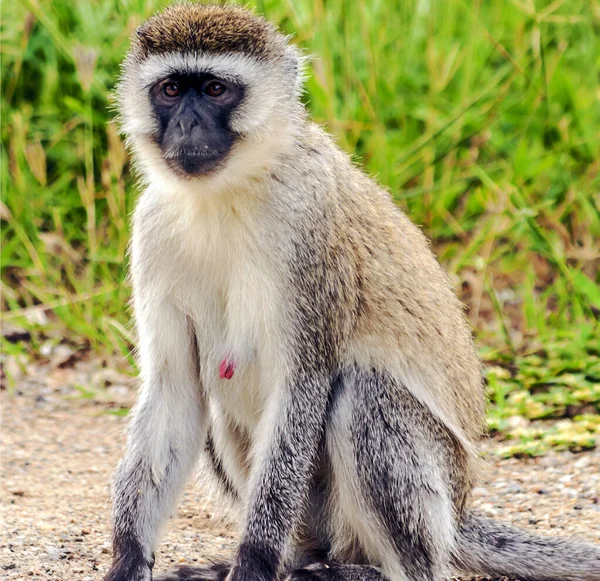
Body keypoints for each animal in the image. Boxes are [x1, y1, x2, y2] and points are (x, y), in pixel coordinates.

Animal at [104, 4, 600, 580]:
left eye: (214, 89)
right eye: (169, 89)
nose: (185, 124)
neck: (228, 191)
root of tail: (459, 512)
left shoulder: (309, 230)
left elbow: (303, 383)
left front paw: (254, 562)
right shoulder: (152, 230)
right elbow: (176, 389)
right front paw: (130, 556)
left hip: (431, 488)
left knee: (362, 393)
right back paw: (300, 559)